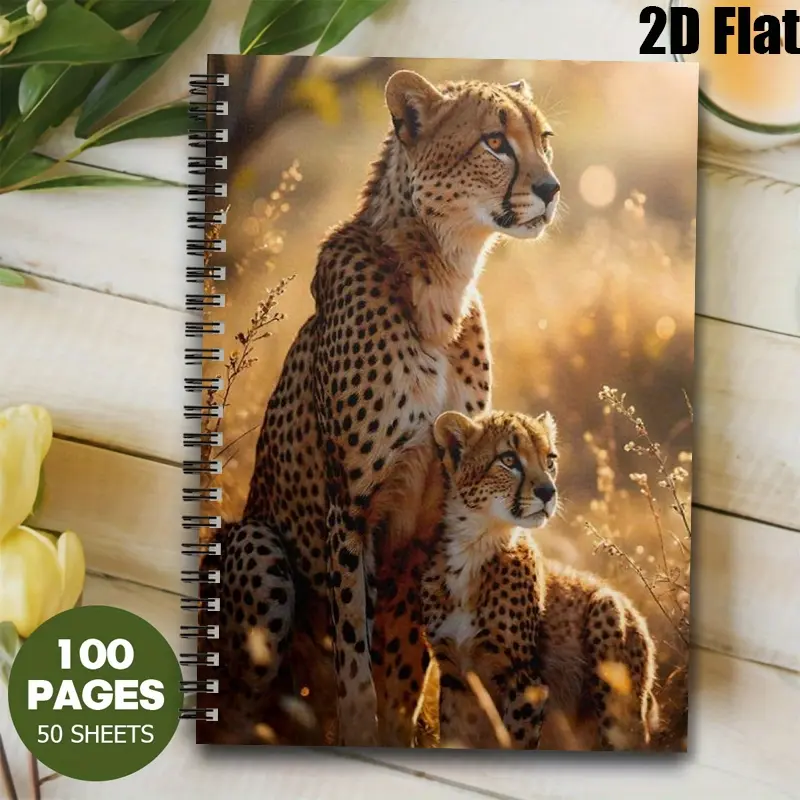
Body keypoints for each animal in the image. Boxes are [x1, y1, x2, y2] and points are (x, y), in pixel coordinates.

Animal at [420, 408, 559, 750]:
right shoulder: (456, 676)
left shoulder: (526, 682)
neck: (474, 546)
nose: (548, 492)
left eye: (549, 459)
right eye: (508, 459)